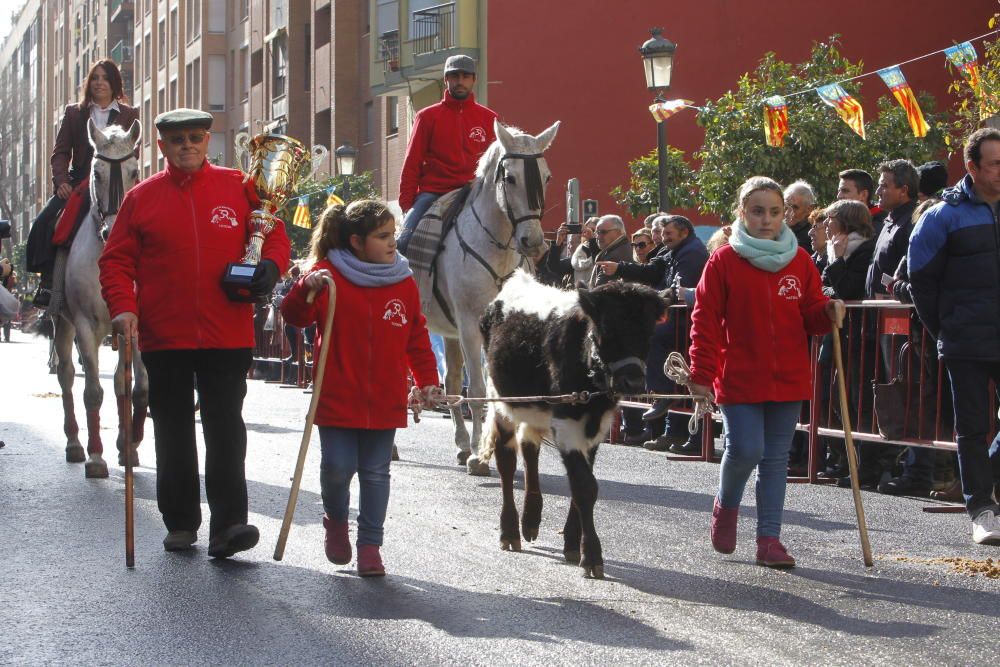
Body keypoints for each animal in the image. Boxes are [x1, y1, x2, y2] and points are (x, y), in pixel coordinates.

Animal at [54, 118, 147, 474]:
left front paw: (130, 444)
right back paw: (75, 444)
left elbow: (136, 387)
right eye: (96, 173)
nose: (115, 229)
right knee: (67, 375)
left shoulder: (136, 325)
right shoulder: (85, 325)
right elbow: (93, 390)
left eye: (134, 172)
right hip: (62, 323)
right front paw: (96, 456)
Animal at [418, 120, 560, 474]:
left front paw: (488, 448)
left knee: (452, 381)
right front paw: (478, 455)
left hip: (450, 333)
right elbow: (480, 387)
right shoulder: (470, 324)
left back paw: (460, 443)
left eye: (547, 176)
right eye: (509, 177)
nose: (533, 242)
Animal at [478, 268, 668, 576]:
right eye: (607, 328)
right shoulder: (567, 423)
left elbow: (582, 482)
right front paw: (591, 555)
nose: (633, 382)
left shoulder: (596, 428)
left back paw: (530, 519)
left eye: (649, 330)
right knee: (507, 461)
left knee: (529, 448)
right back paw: (510, 531)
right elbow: (584, 485)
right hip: (501, 401)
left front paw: (571, 542)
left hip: (536, 408)